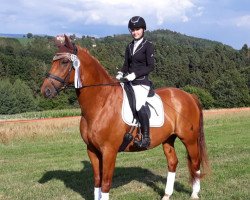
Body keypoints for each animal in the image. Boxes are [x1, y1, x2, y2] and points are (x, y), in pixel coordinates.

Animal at [41, 36, 209, 200]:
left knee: (195, 162)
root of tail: (189, 95)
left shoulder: (109, 151)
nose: (45, 91)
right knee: (173, 162)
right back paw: (166, 195)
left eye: (64, 62)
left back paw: (194, 194)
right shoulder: (92, 150)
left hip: (189, 138)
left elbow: (105, 184)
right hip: (168, 138)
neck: (101, 103)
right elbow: (97, 181)